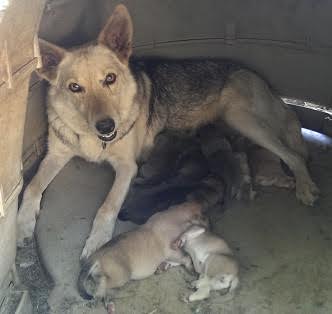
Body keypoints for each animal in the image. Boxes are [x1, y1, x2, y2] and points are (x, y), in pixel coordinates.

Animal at [16, 4, 318, 260]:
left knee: (294, 154)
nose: (107, 126)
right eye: (75, 87)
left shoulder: (127, 168)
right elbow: (31, 188)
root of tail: (253, 73)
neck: (94, 139)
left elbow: (107, 207)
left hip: (241, 118)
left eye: (110, 79)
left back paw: (304, 186)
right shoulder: (55, 155)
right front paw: (22, 224)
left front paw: (96, 241)